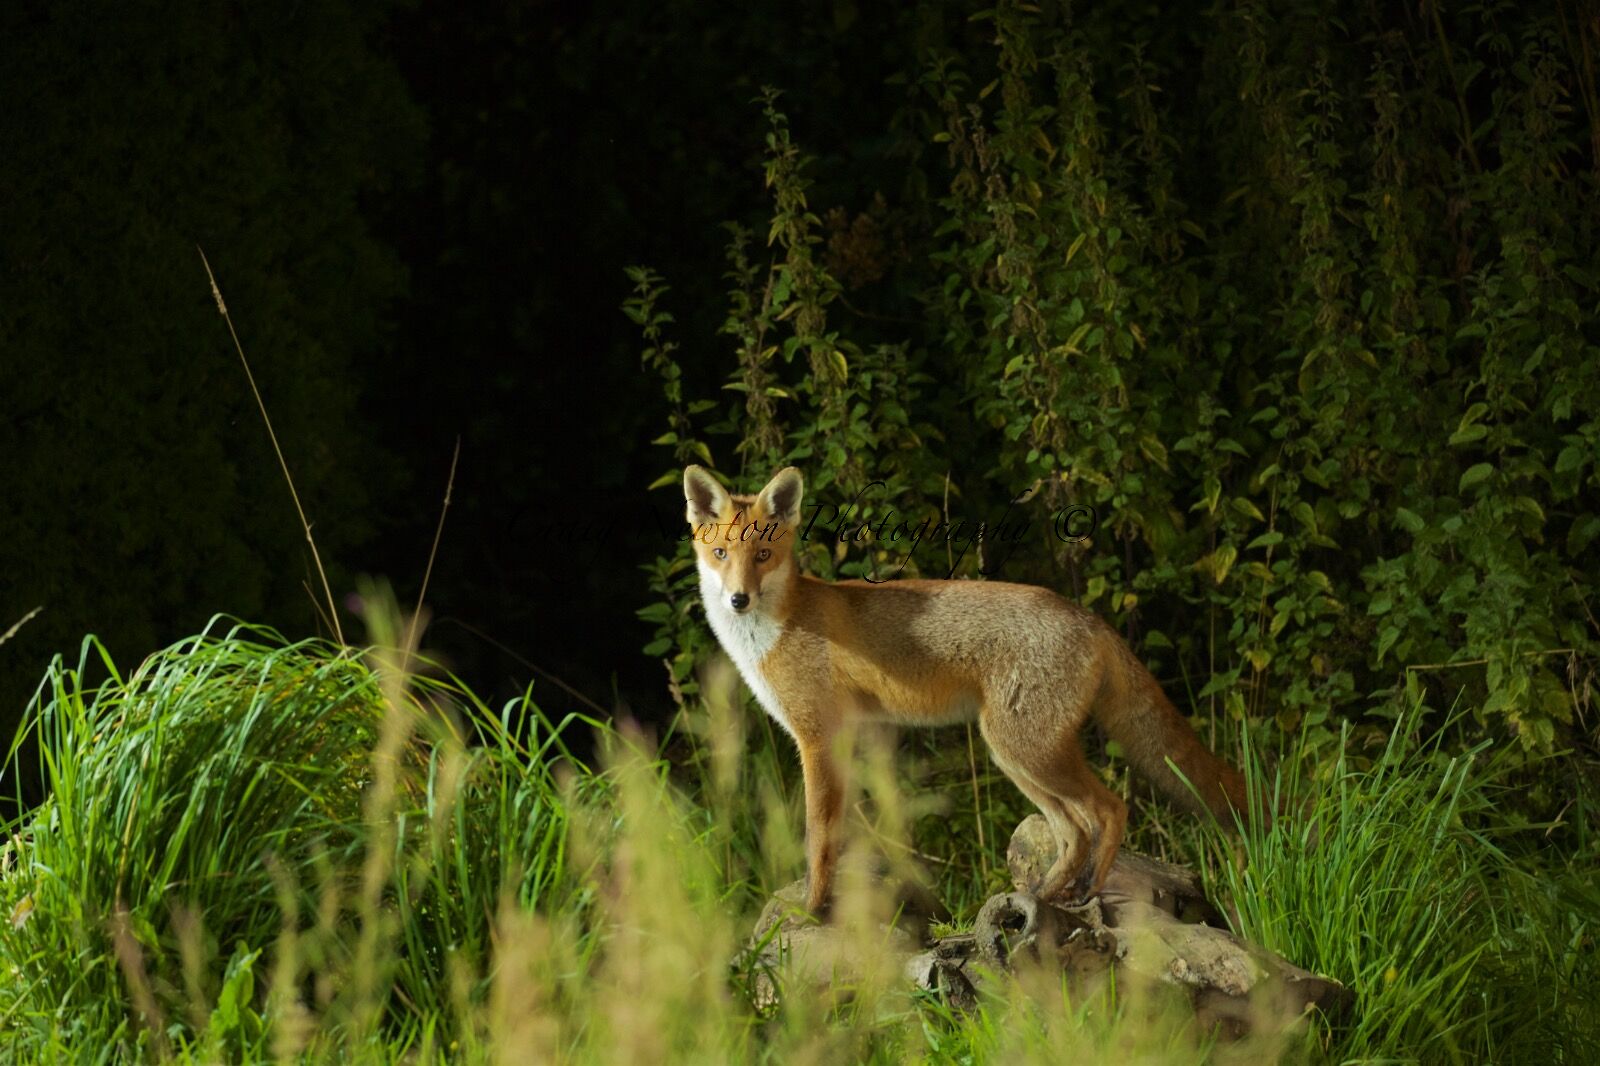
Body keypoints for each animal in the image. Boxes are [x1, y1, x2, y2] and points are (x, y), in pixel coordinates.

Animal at [683, 464, 1253, 915]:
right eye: (720, 553)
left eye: (762, 554)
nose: (738, 599)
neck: (776, 629)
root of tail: (1085, 615)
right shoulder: (866, 735)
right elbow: (874, 831)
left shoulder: (819, 738)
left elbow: (819, 835)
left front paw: (814, 907)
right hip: (1017, 757)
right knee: (1073, 831)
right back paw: (1045, 897)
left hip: (1023, 750)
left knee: (1110, 810)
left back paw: (1086, 892)